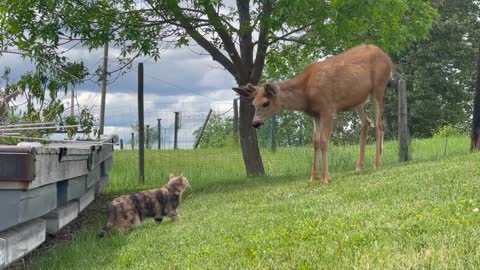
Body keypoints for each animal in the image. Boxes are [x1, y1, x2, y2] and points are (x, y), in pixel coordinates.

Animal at [232, 44, 394, 185]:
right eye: (253, 103)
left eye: (266, 103)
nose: (255, 123)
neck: (306, 93)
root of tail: (387, 58)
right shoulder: (315, 115)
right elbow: (315, 142)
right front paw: (312, 177)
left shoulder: (327, 108)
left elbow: (323, 141)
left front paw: (325, 178)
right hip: (359, 99)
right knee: (366, 122)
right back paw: (359, 167)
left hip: (378, 87)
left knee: (379, 124)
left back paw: (377, 165)